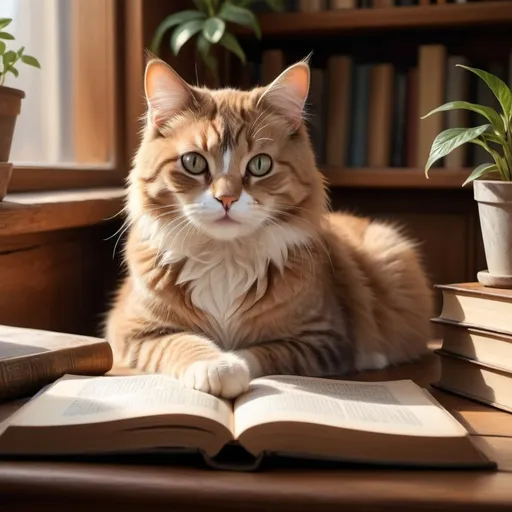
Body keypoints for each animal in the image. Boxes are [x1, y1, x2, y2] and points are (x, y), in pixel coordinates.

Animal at [106, 57, 434, 400]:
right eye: (193, 162)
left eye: (260, 165)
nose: (226, 198)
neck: (225, 259)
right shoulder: (133, 332)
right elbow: (181, 343)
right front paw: (217, 366)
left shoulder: (323, 339)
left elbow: (262, 351)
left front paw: (232, 364)